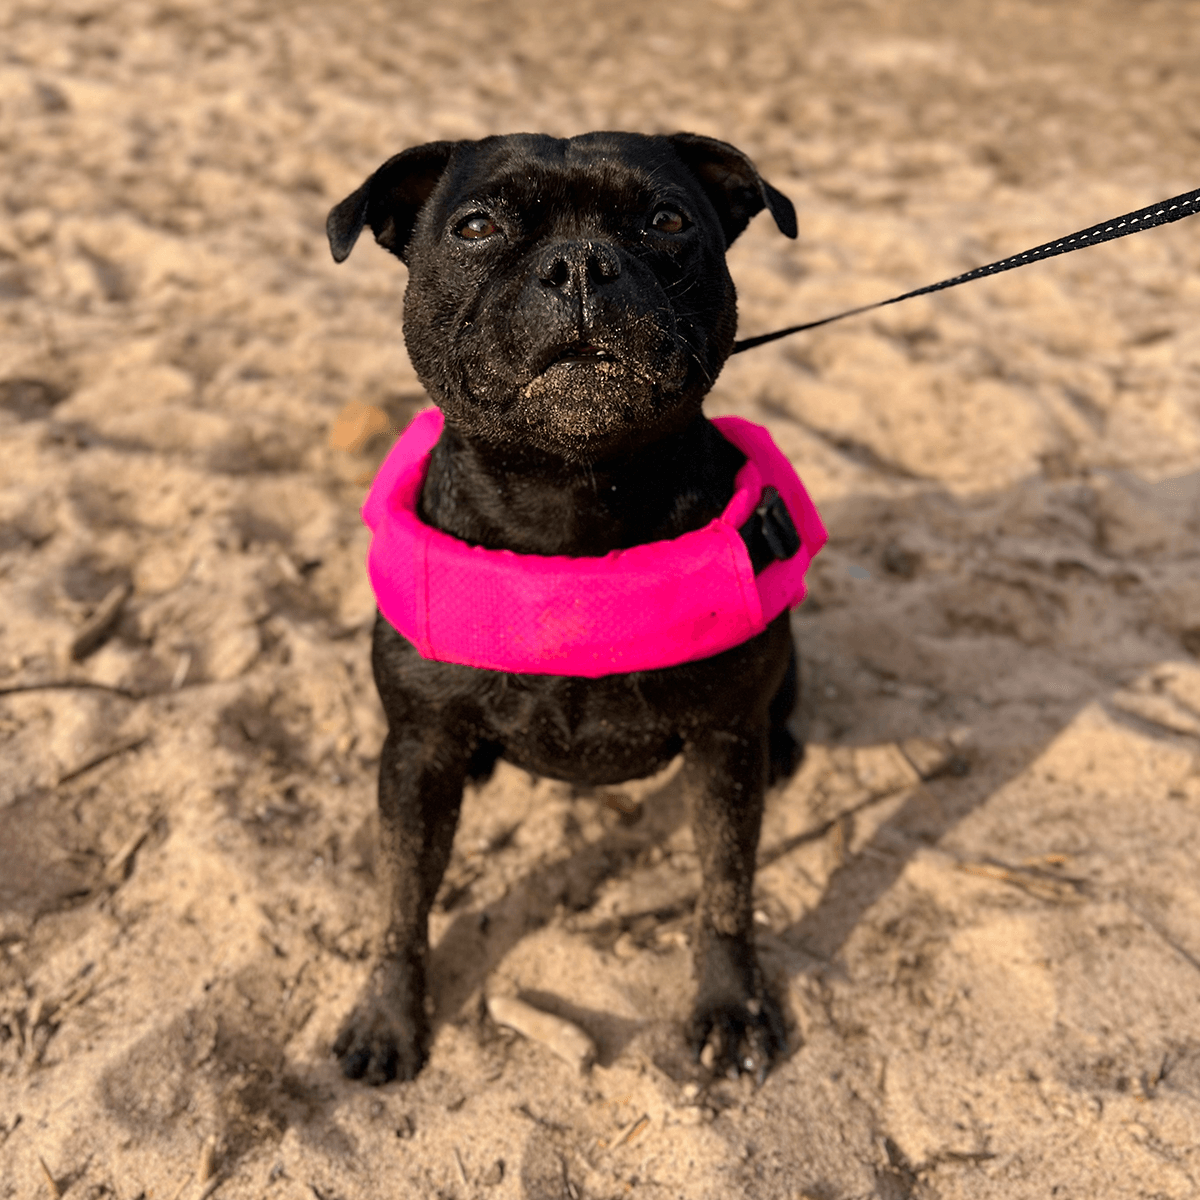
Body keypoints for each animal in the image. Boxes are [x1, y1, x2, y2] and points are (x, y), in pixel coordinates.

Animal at [324, 133, 801, 1089]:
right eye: (475, 227)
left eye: (669, 219)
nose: (580, 263)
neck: (570, 494)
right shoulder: (417, 752)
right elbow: (402, 897)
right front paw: (389, 1015)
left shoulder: (723, 741)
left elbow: (726, 888)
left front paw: (732, 1007)